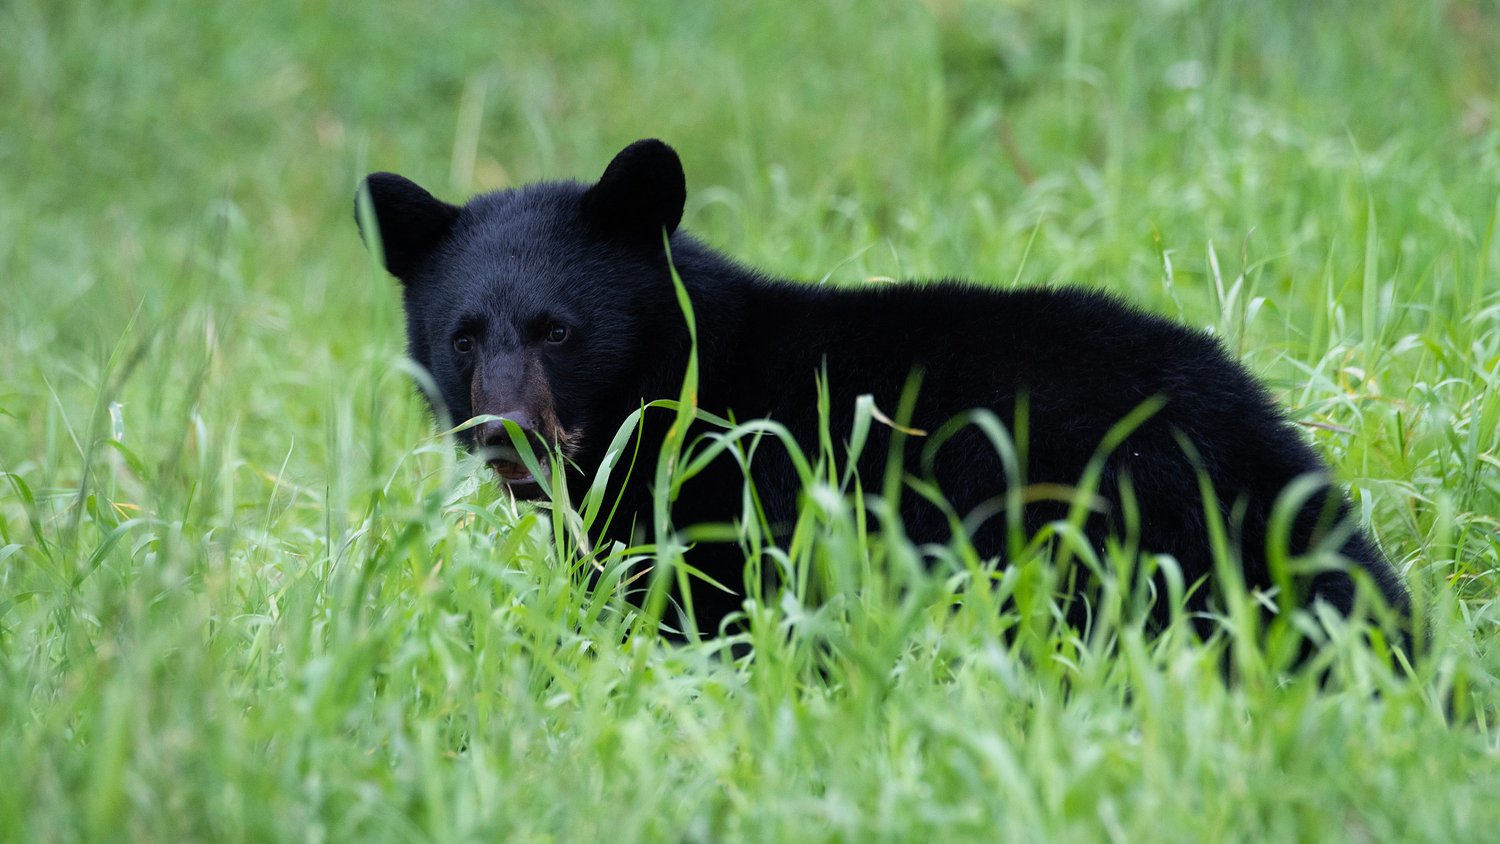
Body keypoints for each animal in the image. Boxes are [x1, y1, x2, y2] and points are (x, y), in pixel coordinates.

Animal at [355, 138, 1408, 641]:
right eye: (461, 337)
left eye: (558, 330)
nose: (506, 434)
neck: (683, 391)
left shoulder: (741, 493)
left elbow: (709, 606)